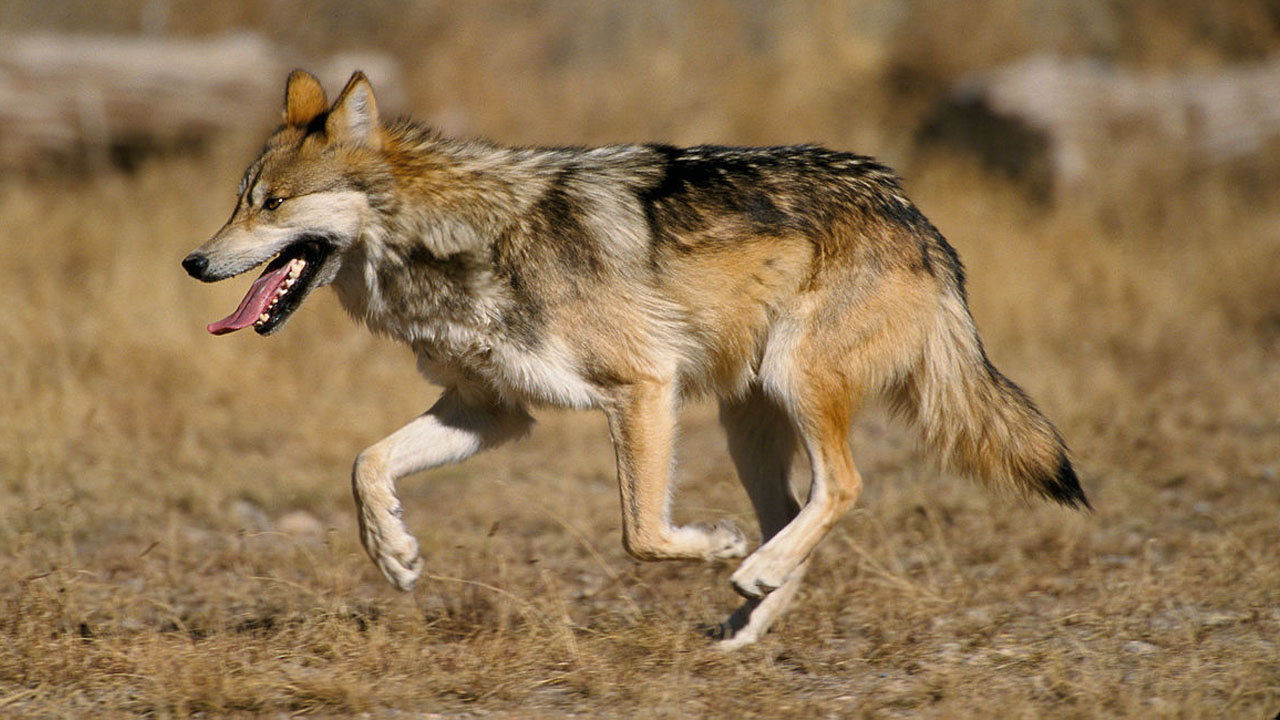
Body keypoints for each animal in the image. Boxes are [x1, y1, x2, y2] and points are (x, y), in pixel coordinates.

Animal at [182, 70, 1089, 648]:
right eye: (238, 201)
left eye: (273, 204)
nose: (193, 262)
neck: (455, 240)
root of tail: (914, 214)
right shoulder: (491, 412)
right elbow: (366, 464)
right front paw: (395, 554)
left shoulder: (642, 387)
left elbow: (642, 534)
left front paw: (713, 545)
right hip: (746, 422)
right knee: (797, 511)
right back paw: (747, 619)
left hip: (790, 385)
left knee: (842, 488)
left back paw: (748, 570)